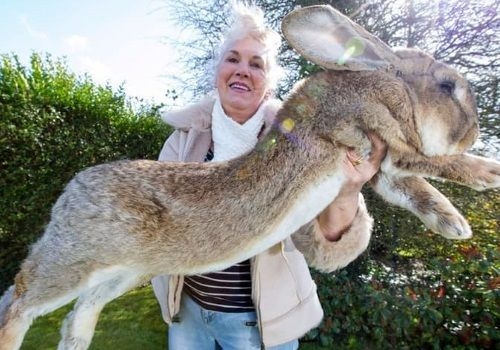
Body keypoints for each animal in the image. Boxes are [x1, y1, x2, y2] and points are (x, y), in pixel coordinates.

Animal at [0, 4, 500, 350]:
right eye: (447, 87)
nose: (475, 131)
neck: (384, 85)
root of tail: (71, 191)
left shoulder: (383, 168)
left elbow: (414, 190)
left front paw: (455, 225)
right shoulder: (382, 138)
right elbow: (436, 164)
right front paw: (488, 173)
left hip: (123, 274)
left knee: (76, 313)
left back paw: (76, 342)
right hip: (76, 260)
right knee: (19, 299)